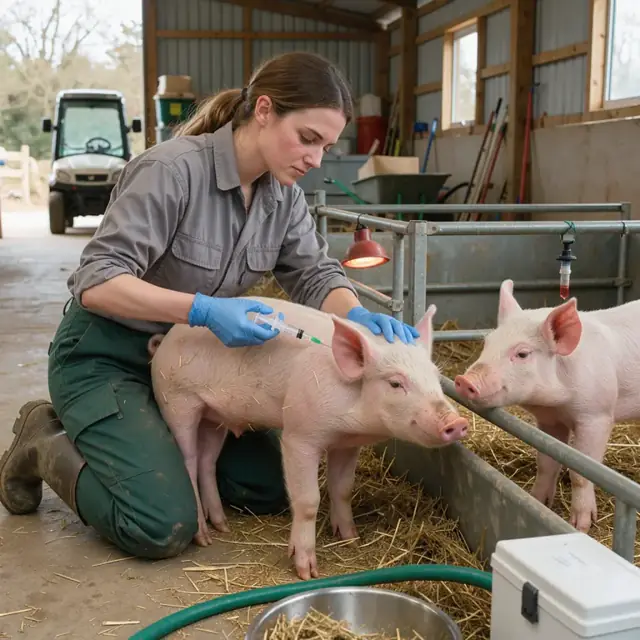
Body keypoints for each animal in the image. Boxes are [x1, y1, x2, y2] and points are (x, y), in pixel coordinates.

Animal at [146, 296, 469, 580]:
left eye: (436, 376)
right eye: (395, 383)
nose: (458, 422)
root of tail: (165, 341)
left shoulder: (349, 444)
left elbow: (343, 489)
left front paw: (351, 538)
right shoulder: (299, 436)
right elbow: (308, 500)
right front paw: (307, 571)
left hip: (215, 417)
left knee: (207, 461)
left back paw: (222, 526)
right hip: (177, 400)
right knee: (188, 462)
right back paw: (203, 537)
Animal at [455, 278, 640, 533]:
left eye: (522, 354)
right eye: (487, 343)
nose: (464, 381)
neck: (558, 404)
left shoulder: (597, 416)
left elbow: (582, 473)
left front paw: (581, 526)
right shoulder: (550, 422)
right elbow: (546, 464)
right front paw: (537, 502)